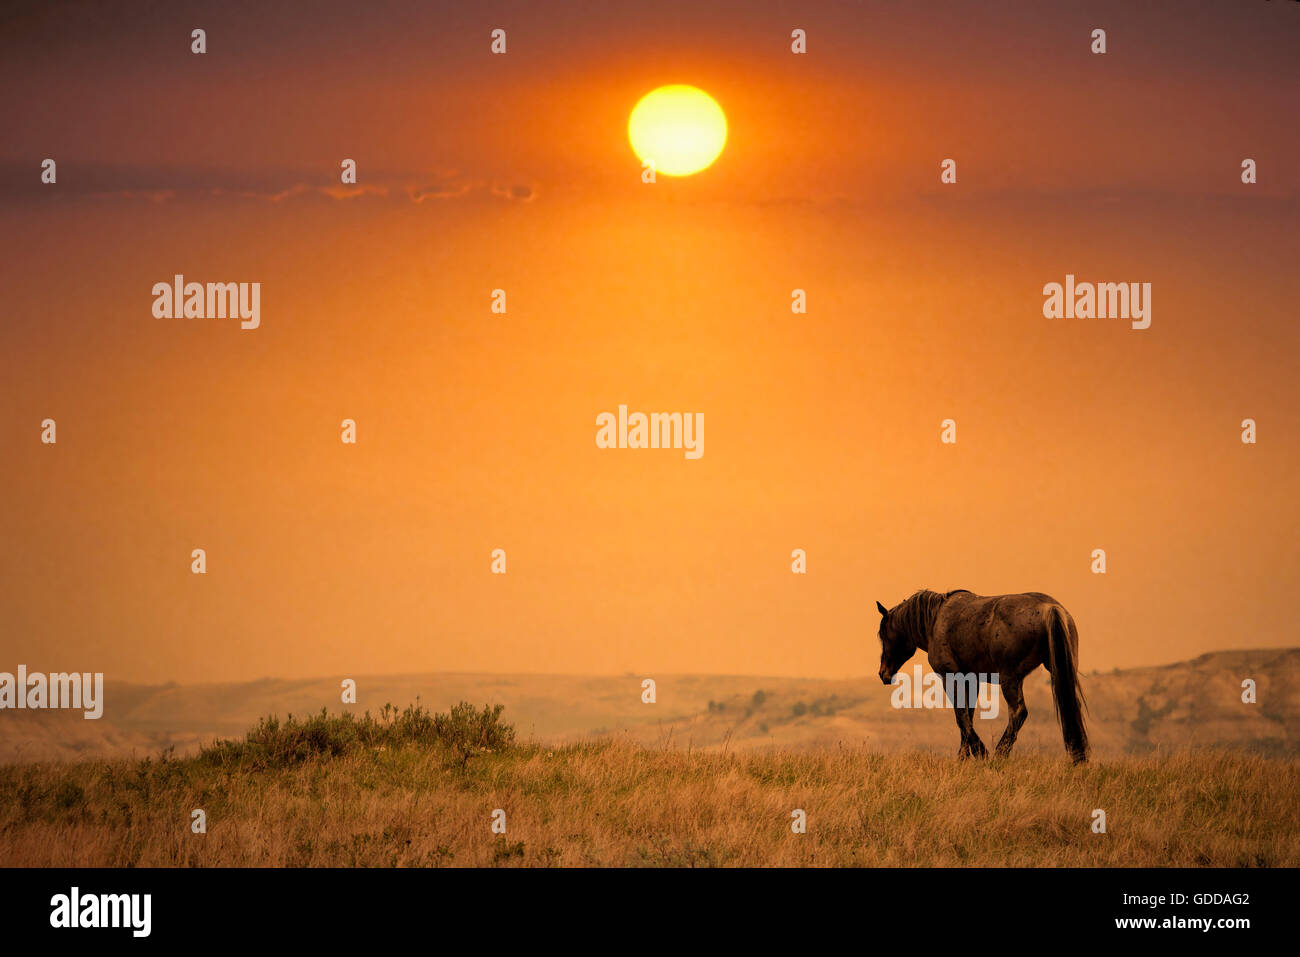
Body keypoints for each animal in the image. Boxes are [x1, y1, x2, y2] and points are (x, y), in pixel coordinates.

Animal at [874, 589, 1089, 763]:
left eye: (884, 634)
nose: (883, 673)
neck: (935, 620)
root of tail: (1049, 608)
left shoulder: (950, 677)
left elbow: (961, 716)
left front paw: (979, 752)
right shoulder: (972, 679)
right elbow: (968, 715)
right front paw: (964, 757)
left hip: (1010, 678)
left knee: (1018, 712)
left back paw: (1000, 754)